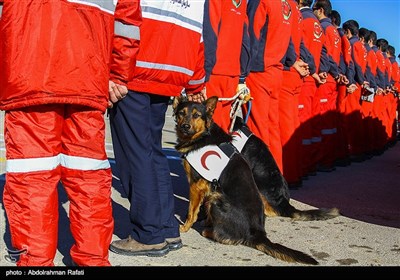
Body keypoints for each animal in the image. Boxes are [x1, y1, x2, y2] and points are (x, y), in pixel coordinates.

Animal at [172, 96, 318, 264]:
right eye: (181, 113)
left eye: (196, 115)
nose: (185, 126)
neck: (203, 135)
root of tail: (258, 233)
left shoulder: (196, 185)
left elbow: (191, 211)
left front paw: (185, 227)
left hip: (217, 199)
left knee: (226, 236)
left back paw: (208, 230)